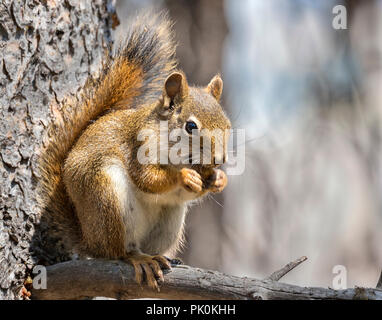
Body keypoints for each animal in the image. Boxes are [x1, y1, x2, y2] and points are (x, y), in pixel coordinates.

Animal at [38, 11, 230, 290]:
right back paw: (137, 258)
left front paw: (218, 179)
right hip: (106, 197)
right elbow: (147, 179)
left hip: (169, 220)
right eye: (191, 126)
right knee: (118, 252)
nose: (219, 159)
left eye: (227, 123)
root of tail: (89, 240)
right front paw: (184, 176)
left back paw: (158, 257)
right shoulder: (138, 146)